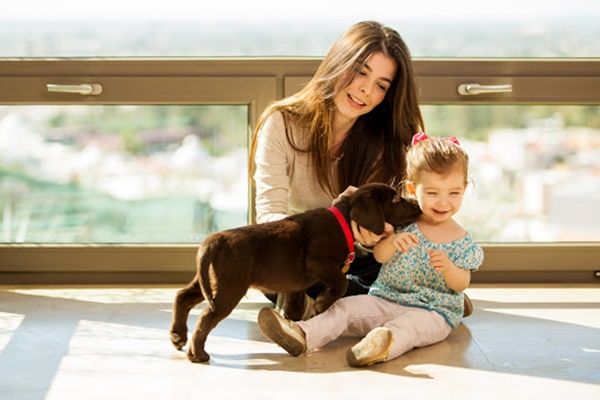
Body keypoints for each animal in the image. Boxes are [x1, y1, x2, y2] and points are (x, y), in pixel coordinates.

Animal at [169, 183, 422, 364]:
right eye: (395, 200)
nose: (418, 206)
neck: (343, 223)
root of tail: (216, 239)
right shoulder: (317, 262)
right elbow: (340, 282)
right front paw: (321, 305)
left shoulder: (295, 286)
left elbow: (294, 307)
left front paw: (292, 324)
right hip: (230, 286)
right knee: (206, 316)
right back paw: (197, 354)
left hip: (211, 281)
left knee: (182, 296)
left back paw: (178, 335)